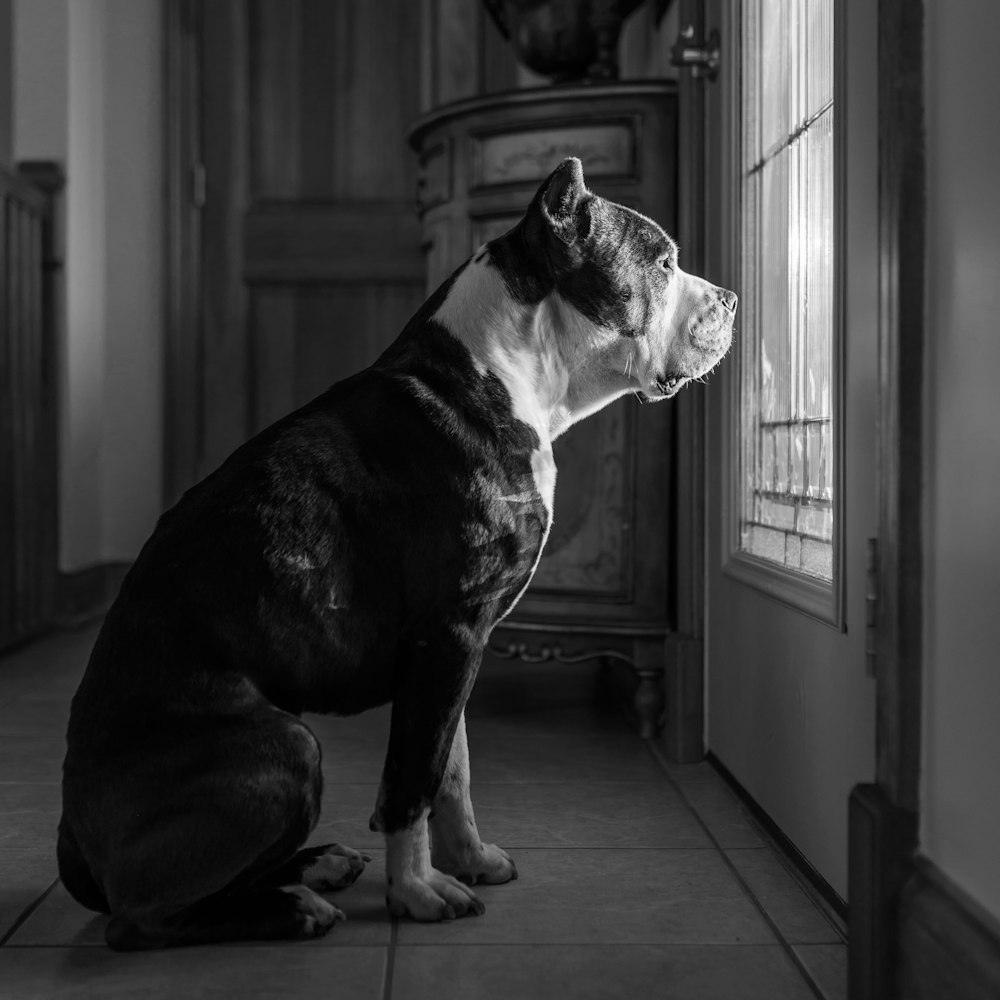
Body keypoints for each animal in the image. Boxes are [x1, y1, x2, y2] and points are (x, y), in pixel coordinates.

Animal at [60, 158, 736, 952]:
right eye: (661, 264)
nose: (731, 299)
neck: (499, 373)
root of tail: (72, 838)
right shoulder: (448, 635)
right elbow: (411, 779)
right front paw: (416, 892)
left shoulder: (453, 652)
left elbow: (451, 766)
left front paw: (468, 859)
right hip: (289, 747)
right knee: (142, 917)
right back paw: (289, 908)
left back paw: (313, 867)